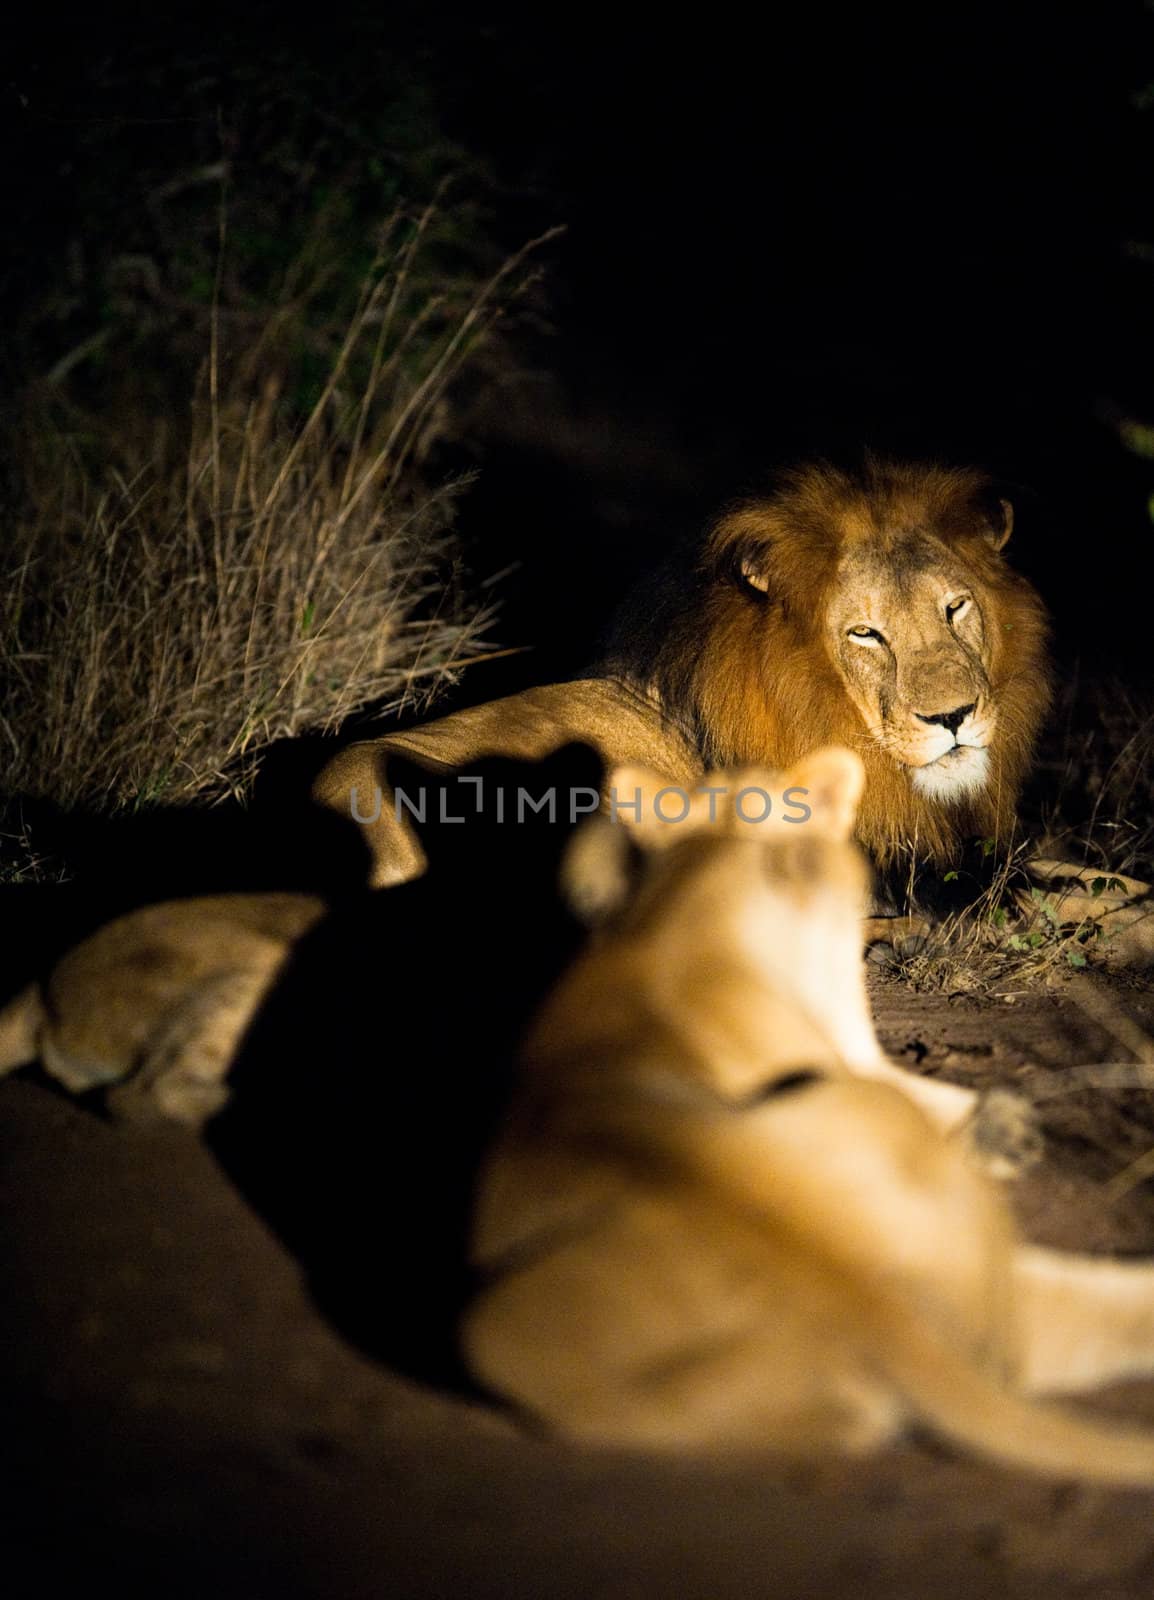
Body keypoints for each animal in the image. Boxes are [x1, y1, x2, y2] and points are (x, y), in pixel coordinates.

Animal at [460, 748, 1154, 1484]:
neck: (703, 885)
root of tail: (856, 1300)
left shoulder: (851, 1051)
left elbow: (931, 1091)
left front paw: (1008, 1125)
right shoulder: (839, 1047)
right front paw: (1003, 1132)